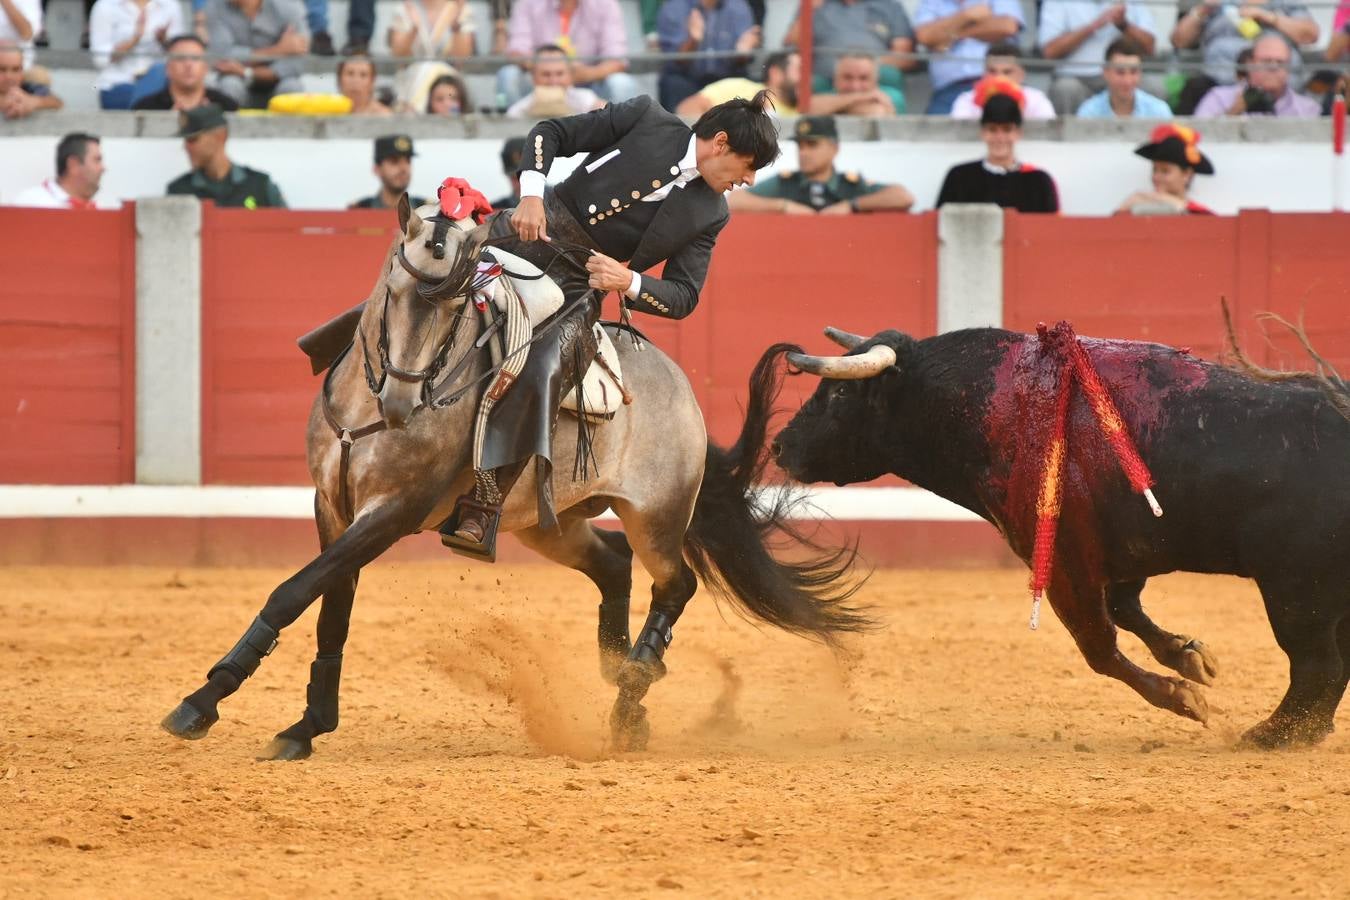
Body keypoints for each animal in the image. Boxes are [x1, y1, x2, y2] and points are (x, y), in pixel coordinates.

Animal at [160, 197, 874, 761]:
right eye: (395, 292)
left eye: (456, 312)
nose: (401, 405)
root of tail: (680, 385)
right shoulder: (332, 505)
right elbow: (329, 608)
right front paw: (304, 726)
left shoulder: (392, 512)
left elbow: (293, 592)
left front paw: (201, 702)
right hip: (546, 522)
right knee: (613, 563)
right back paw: (618, 674)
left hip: (658, 515)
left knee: (675, 583)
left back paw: (631, 694)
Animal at [766, 327, 1350, 750]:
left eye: (840, 391)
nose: (780, 445)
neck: (993, 406)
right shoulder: (1121, 552)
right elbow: (1125, 610)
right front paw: (1192, 659)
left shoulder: (1063, 558)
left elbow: (1099, 646)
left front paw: (1184, 697)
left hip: (1296, 587)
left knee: (1316, 660)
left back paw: (1274, 735)